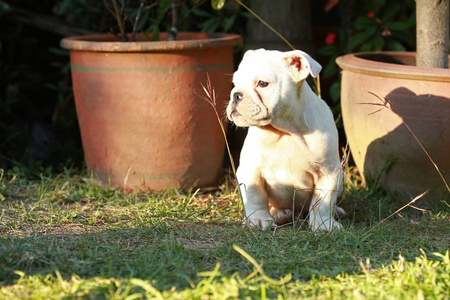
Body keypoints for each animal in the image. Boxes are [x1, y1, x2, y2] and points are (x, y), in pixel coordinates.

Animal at [227, 49, 342, 232]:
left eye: (262, 83)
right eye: (235, 82)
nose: (236, 94)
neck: (284, 131)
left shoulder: (328, 171)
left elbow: (323, 201)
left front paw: (324, 224)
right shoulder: (251, 170)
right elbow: (255, 196)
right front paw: (258, 220)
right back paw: (280, 214)